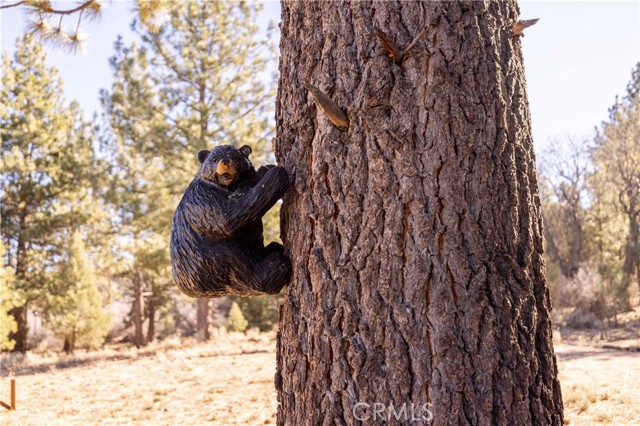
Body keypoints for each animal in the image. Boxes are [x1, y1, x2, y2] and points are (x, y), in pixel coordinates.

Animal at [170, 144, 290, 298]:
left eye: (236, 159)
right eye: (214, 159)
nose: (225, 161)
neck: (225, 186)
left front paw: (264, 170)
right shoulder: (202, 198)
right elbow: (228, 217)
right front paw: (276, 173)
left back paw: (273, 248)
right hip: (208, 261)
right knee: (241, 266)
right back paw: (276, 263)